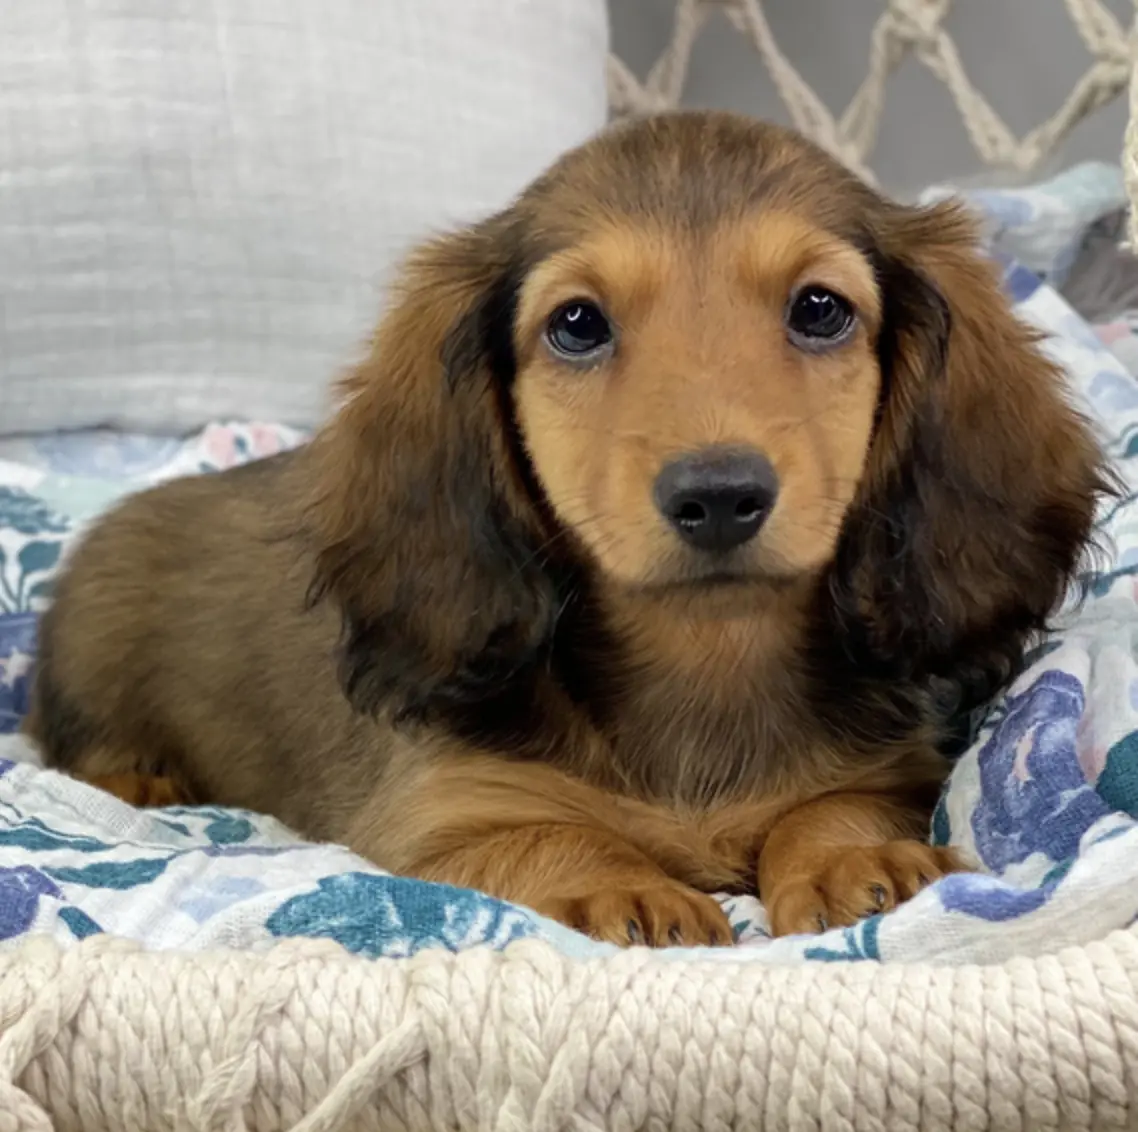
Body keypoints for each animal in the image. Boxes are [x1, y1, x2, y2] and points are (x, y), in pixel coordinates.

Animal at [24, 112, 1110, 944]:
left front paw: (855, 855)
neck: (704, 663)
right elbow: (546, 836)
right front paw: (616, 883)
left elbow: (833, 804)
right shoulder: (438, 819)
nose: (719, 495)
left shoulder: (887, 766)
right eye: (577, 324)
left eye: (819, 309)